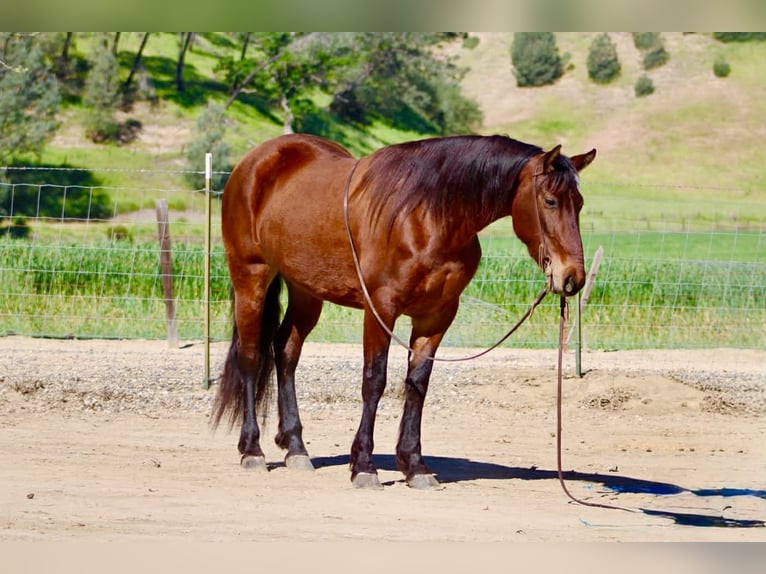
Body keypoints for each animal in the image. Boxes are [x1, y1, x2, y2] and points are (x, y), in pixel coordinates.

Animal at [212, 133, 596, 489]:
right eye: (550, 200)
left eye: (579, 204)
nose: (572, 277)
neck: (426, 217)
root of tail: (254, 162)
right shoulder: (380, 309)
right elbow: (374, 381)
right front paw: (363, 465)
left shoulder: (436, 316)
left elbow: (417, 385)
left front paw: (414, 465)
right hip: (251, 278)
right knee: (250, 357)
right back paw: (252, 450)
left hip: (306, 291)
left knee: (286, 352)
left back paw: (295, 447)